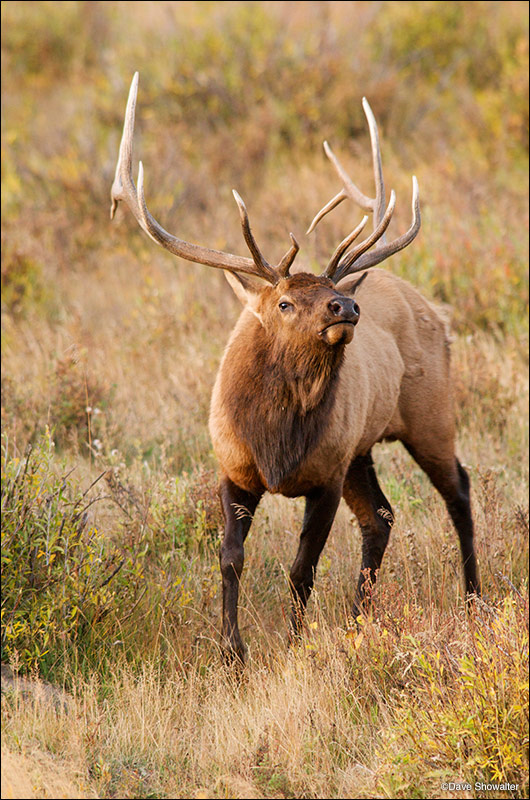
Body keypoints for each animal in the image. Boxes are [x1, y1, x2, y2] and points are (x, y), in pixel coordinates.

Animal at [110, 73, 478, 664]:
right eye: (283, 303)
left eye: (329, 292)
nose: (346, 306)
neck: (275, 441)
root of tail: (437, 313)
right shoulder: (234, 468)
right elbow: (230, 559)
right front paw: (232, 652)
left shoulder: (325, 473)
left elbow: (301, 570)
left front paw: (294, 644)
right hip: (363, 448)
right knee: (382, 517)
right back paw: (358, 622)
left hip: (429, 416)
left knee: (457, 492)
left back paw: (473, 601)